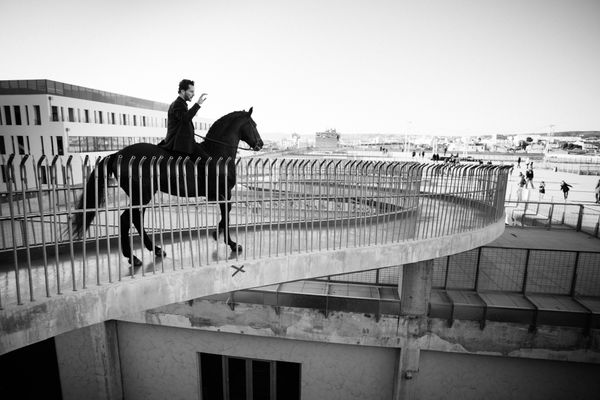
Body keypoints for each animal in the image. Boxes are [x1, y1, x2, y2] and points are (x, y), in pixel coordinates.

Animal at [72, 108, 262, 268]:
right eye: (253, 125)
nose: (260, 144)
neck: (216, 152)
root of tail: (117, 154)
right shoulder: (223, 192)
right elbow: (227, 213)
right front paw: (231, 243)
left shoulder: (220, 194)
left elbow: (226, 213)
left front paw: (218, 234)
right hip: (142, 194)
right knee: (127, 219)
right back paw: (133, 257)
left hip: (141, 195)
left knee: (136, 219)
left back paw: (154, 250)